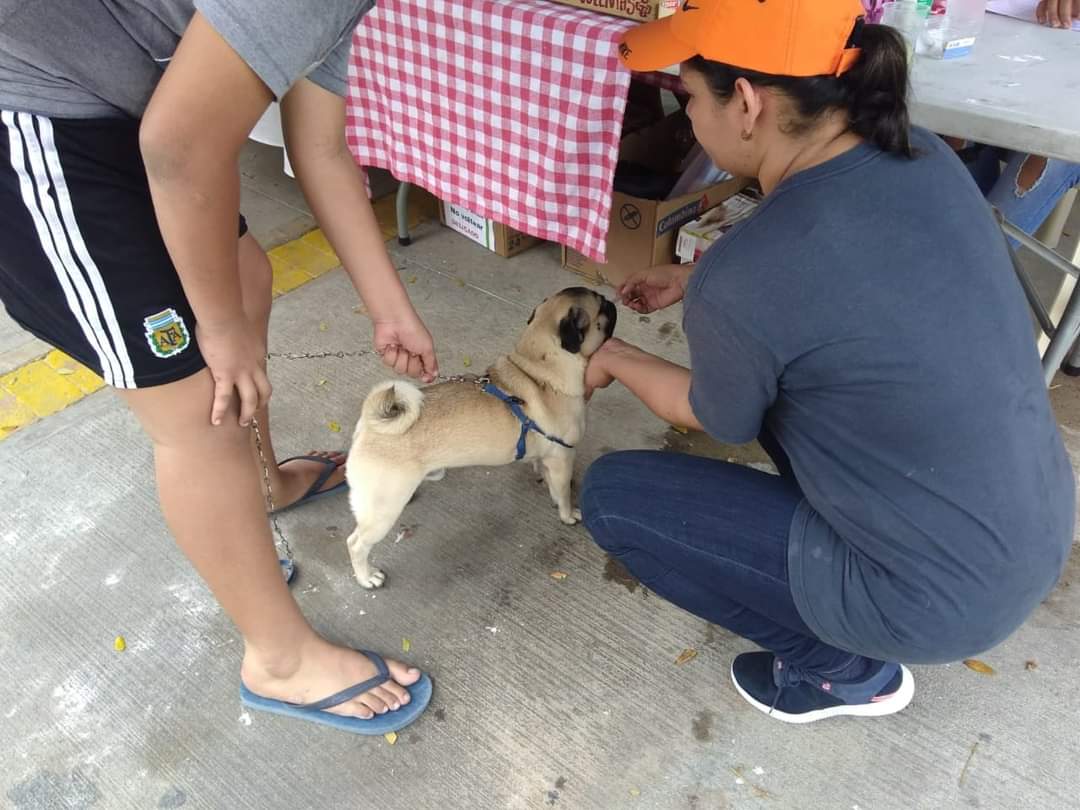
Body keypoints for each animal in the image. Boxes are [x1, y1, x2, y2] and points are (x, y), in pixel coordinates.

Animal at [345, 287, 617, 591]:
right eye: (602, 307)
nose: (613, 301)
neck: (538, 372)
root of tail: (369, 426)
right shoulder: (563, 457)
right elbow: (563, 494)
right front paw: (567, 514)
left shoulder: (548, 456)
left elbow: (544, 474)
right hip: (383, 511)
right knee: (356, 544)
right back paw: (367, 577)